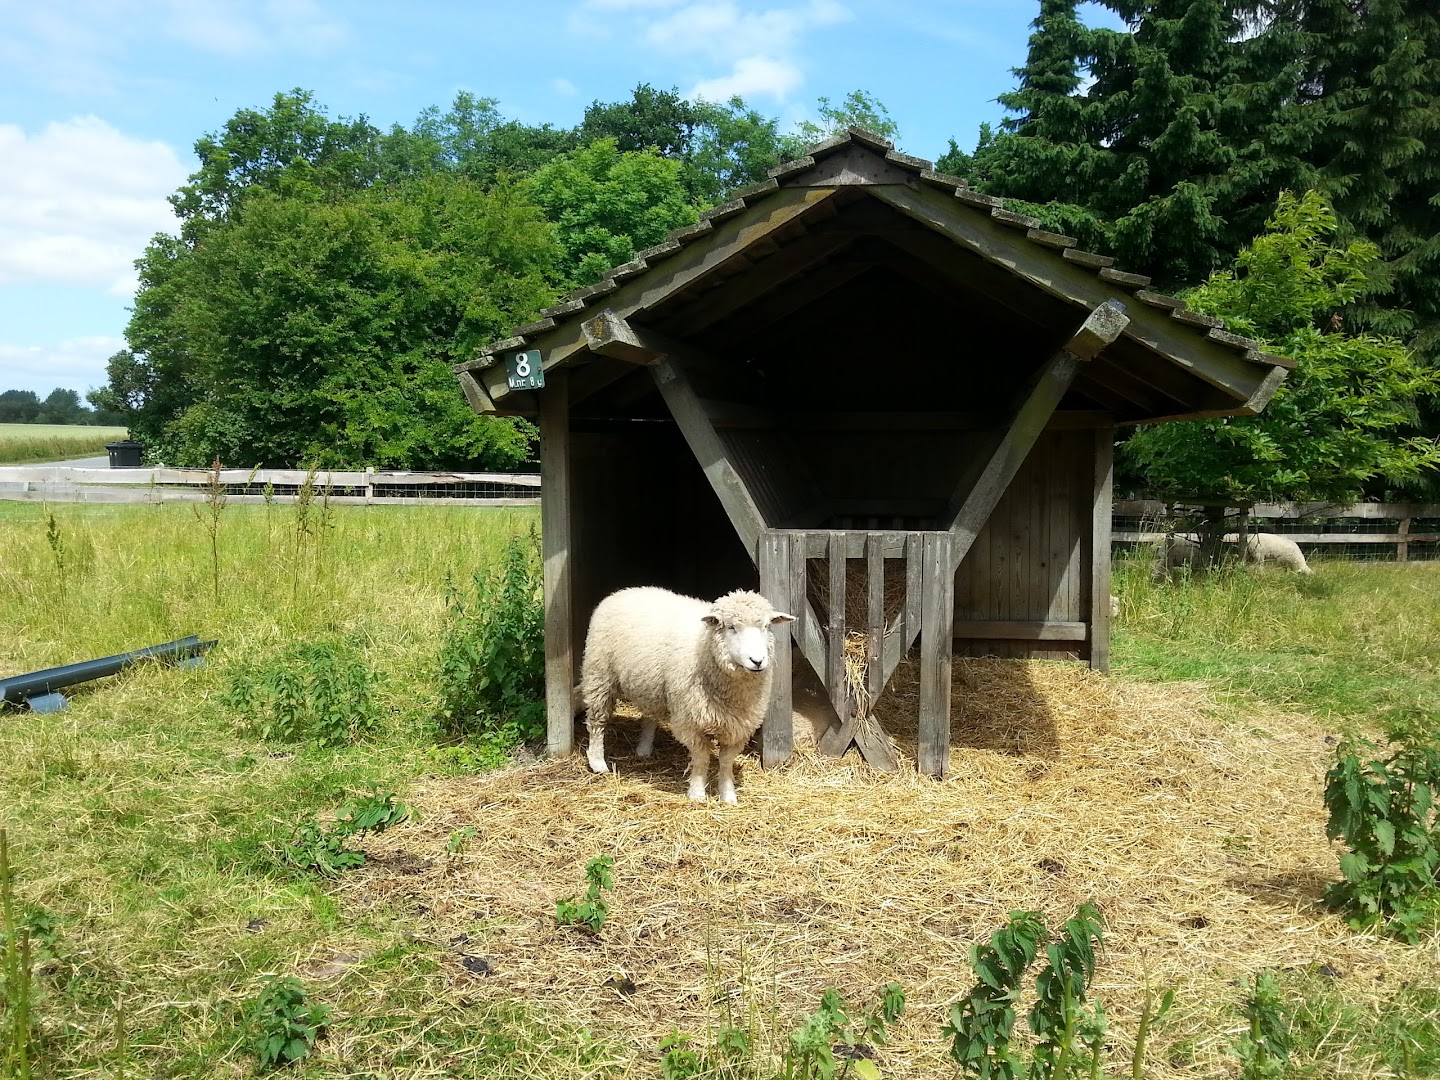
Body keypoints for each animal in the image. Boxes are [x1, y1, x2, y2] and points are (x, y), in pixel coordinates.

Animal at [581, 586, 795, 803]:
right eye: (731, 627)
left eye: (766, 626)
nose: (757, 661)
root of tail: (624, 591)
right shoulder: (690, 722)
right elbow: (702, 759)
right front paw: (697, 794)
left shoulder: (739, 727)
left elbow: (726, 762)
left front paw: (728, 795)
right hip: (600, 675)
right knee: (597, 721)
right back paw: (598, 762)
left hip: (651, 686)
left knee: (650, 715)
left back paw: (644, 749)